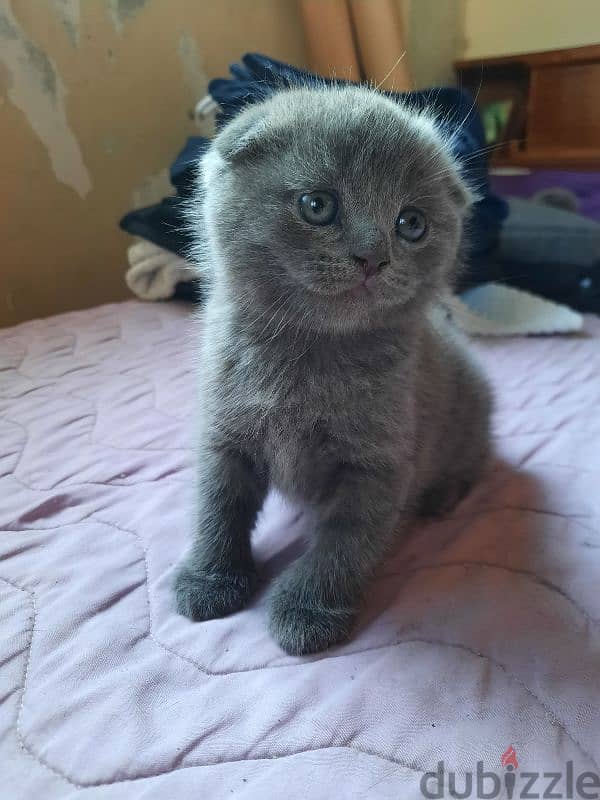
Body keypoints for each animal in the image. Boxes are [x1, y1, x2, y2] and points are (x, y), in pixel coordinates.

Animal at [173, 84, 492, 652]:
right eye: (317, 205)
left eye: (412, 223)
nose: (373, 258)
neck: (312, 353)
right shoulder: (224, 431)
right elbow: (217, 506)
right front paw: (208, 579)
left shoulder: (379, 464)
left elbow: (344, 542)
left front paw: (306, 610)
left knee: (473, 462)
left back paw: (441, 496)